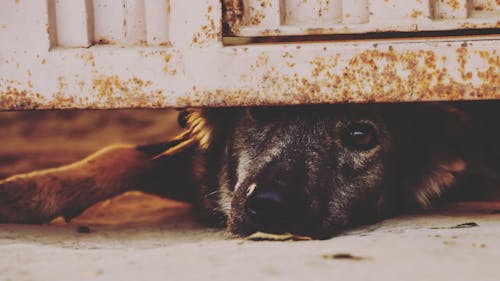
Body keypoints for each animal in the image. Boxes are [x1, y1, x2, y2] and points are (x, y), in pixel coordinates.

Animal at [0, 101, 498, 237]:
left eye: (361, 135)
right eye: (261, 110)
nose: (269, 205)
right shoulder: (201, 172)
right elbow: (121, 152)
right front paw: (28, 189)